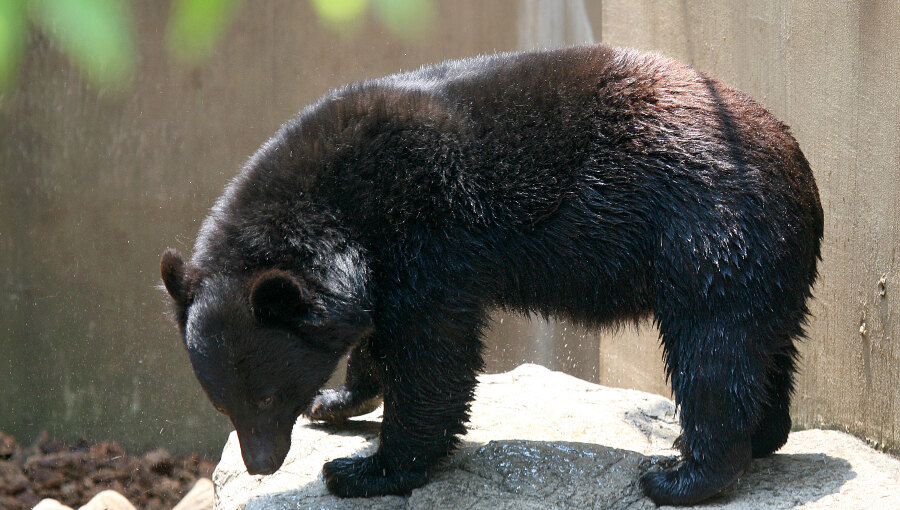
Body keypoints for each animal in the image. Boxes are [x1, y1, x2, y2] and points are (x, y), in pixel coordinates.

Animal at [160, 43, 823, 506]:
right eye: (220, 402)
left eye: (269, 394)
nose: (262, 464)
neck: (339, 203)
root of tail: (801, 168)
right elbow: (384, 336)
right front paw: (336, 401)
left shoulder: (428, 224)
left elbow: (433, 351)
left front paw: (364, 469)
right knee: (767, 346)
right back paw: (763, 436)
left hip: (710, 236)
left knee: (714, 351)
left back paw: (681, 475)